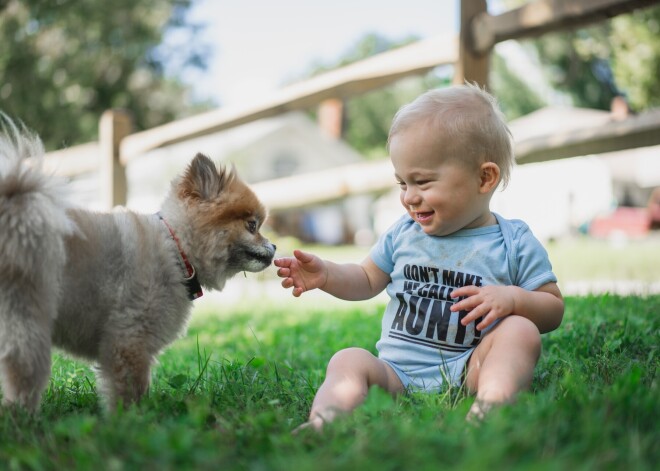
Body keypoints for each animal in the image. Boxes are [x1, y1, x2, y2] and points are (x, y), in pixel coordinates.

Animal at [0, 116, 276, 412]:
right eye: (252, 225)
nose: (275, 246)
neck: (177, 249)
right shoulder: (130, 339)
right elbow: (131, 388)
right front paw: (133, 418)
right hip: (28, 318)